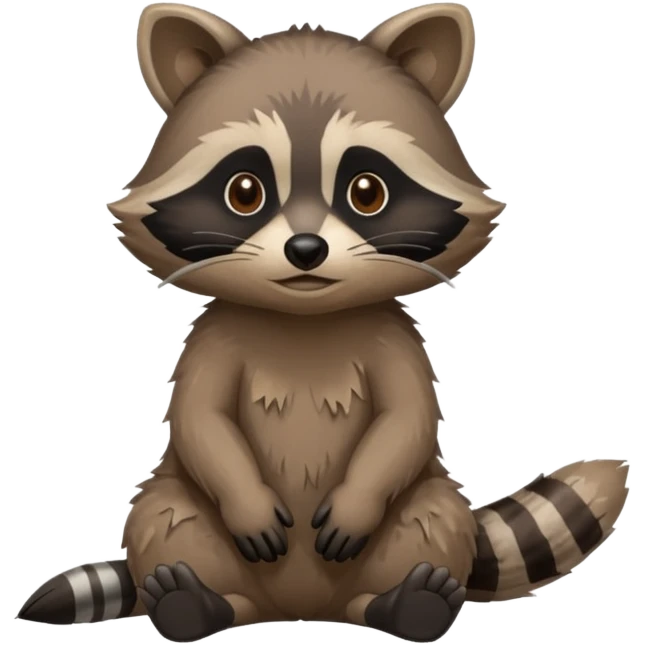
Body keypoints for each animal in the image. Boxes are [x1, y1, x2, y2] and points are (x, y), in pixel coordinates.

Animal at [16, 2, 630, 643]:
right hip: (187, 514)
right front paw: (243, 497)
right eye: (244, 191)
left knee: (430, 517)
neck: (305, 321)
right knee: (166, 516)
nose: (306, 249)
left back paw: (405, 603)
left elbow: (405, 418)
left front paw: (362, 496)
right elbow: (201, 418)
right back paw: (195, 601)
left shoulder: (391, 336)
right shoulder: (215, 338)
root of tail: (300, 607)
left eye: (367, 191)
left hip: (417, 515)